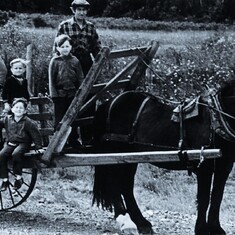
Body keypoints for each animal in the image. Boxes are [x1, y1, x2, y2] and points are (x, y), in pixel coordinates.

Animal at [92, 80, 235, 234]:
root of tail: (109, 102)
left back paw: (137, 221)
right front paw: (201, 229)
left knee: (125, 186)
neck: (216, 120)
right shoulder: (204, 166)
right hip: (117, 153)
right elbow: (204, 199)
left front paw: (216, 228)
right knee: (117, 183)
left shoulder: (224, 167)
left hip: (128, 157)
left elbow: (217, 197)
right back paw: (131, 219)